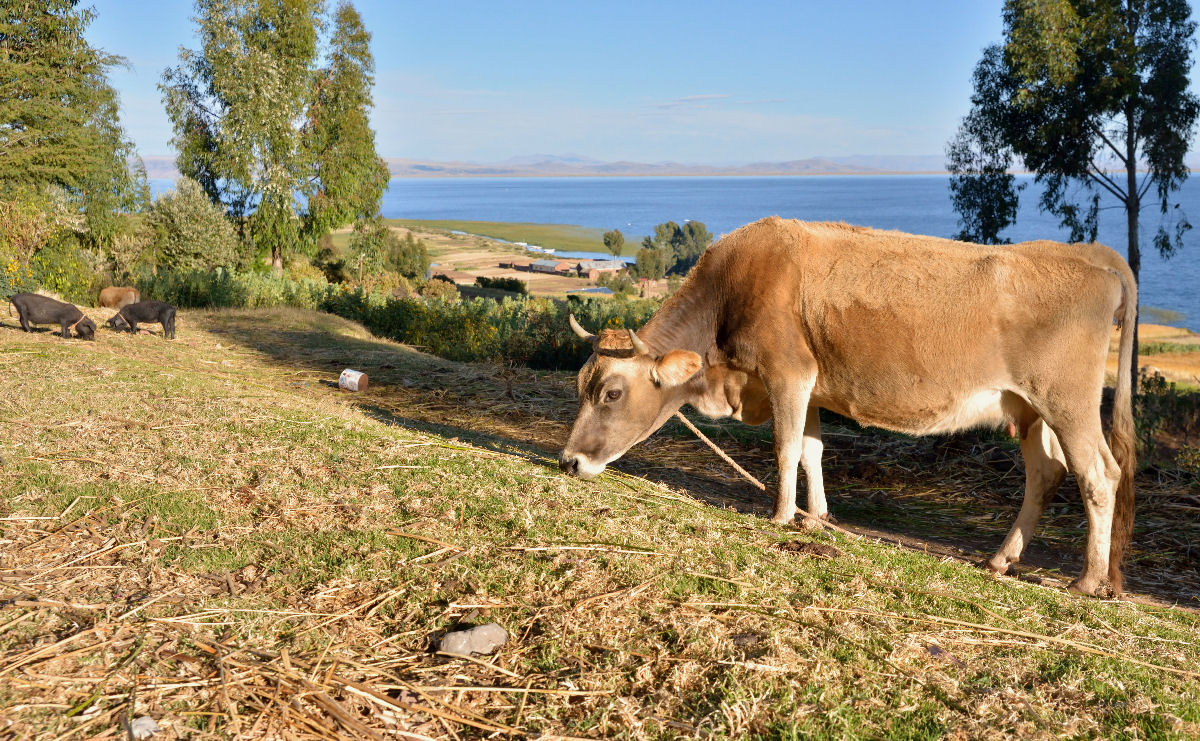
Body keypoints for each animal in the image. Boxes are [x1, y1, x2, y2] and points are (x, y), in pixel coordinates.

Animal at [561, 218, 1132, 594]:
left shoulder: (787, 370)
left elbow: (786, 447)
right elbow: (812, 450)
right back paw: (1000, 559)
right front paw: (815, 518)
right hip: (1028, 407)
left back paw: (1087, 581)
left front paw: (781, 516)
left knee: (1098, 474)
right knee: (1047, 474)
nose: (568, 461)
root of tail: (1087, 255)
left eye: (612, 393)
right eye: (580, 383)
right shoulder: (810, 383)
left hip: (1067, 401)